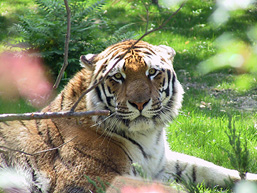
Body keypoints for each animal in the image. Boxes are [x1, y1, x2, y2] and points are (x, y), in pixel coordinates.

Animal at [0, 39, 256, 193]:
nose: (140, 102)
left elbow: (209, 168)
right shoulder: (89, 178)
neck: (148, 135)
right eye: (117, 76)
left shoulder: (161, 162)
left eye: (152, 72)